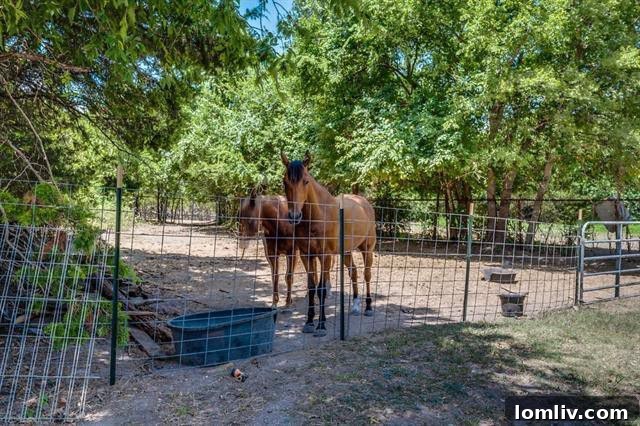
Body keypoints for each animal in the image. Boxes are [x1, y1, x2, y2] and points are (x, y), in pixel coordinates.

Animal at [280, 151, 377, 336]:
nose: (294, 216)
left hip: (367, 249)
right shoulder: (307, 255)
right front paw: (309, 322)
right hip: (346, 252)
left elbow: (322, 289)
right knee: (353, 272)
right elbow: (311, 288)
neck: (319, 216)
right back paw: (355, 306)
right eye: (285, 181)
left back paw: (368, 307)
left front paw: (321, 325)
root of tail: (364, 203)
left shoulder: (325, 256)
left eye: (306, 181)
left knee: (367, 274)